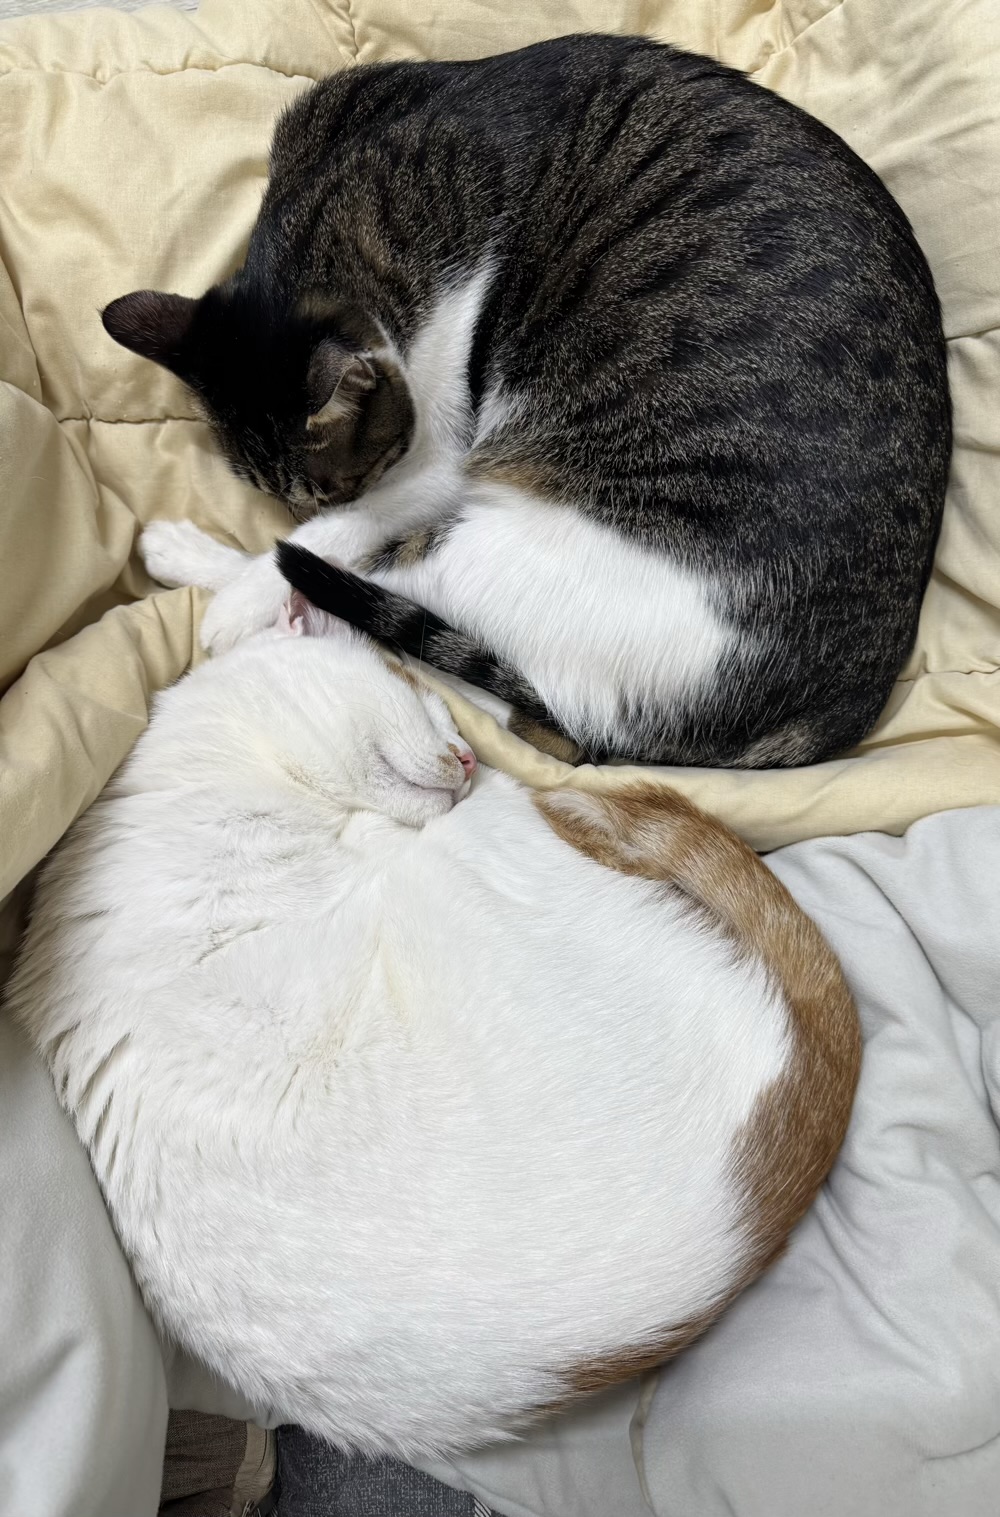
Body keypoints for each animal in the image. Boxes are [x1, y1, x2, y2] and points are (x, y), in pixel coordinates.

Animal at [7, 524, 860, 1457]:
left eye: (443, 726)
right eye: (422, 713)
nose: (462, 756)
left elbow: (263, 592)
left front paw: (184, 551)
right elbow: (275, 600)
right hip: (504, 842)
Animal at [102, 34, 950, 769]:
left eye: (332, 486)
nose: (300, 508)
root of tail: (820, 718)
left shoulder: (443, 451)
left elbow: (338, 532)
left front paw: (245, 593)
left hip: (492, 550)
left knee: (401, 617)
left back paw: (222, 585)